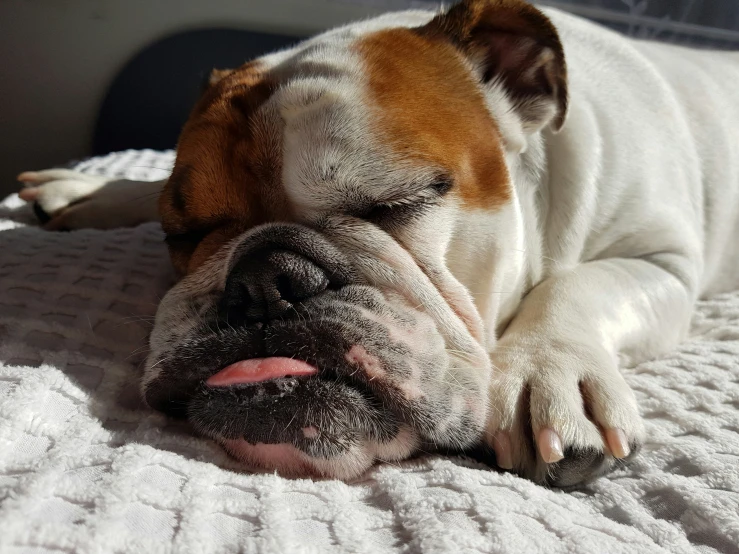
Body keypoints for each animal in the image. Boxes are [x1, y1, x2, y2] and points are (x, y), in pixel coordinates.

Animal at [17, 0, 739, 484]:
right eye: (182, 232)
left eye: (399, 202)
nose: (265, 276)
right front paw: (98, 192)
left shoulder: (665, 262)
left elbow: (580, 282)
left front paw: (548, 374)